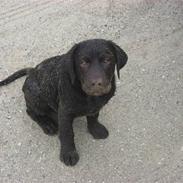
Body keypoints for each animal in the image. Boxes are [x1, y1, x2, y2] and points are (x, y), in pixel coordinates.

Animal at [0, 39, 128, 166]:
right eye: (83, 62)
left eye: (107, 60)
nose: (97, 83)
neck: (88, 96)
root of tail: (31, 71)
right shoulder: (64, 112)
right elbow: (67, 133)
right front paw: (69, 153)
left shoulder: (96, 106)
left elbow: (93, 116)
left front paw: (96, 129)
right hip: (37, 96)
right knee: (30, 111)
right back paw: (47, 124)